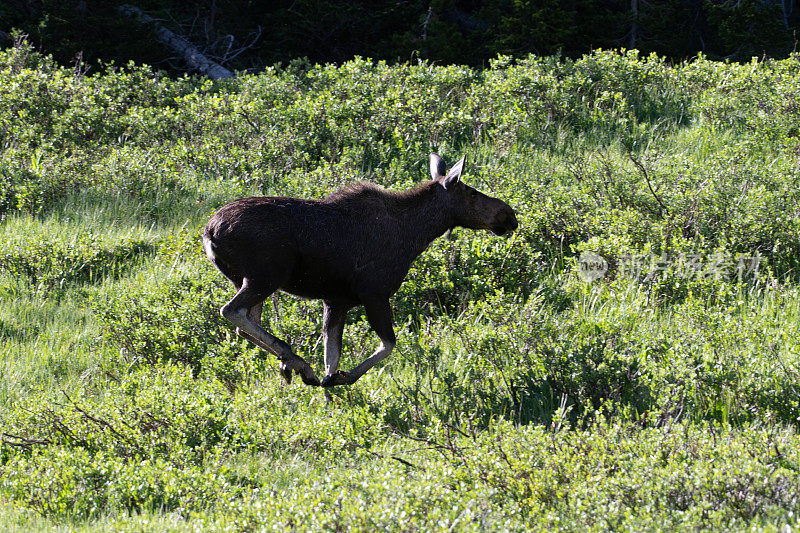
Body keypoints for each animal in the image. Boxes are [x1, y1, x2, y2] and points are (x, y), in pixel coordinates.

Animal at [203, 153, 520, 386]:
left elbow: (332, 356)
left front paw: (330, 391)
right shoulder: (374, 293)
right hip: (266, 275)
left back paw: (292, 364)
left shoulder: (336, 300)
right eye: (470, 192)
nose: (509, 215)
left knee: (246, 321)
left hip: (244, 279)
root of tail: (210, 231)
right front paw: (341, 379)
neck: (416, 234)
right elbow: (388, 344)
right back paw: (296, 360)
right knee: (231, 311)